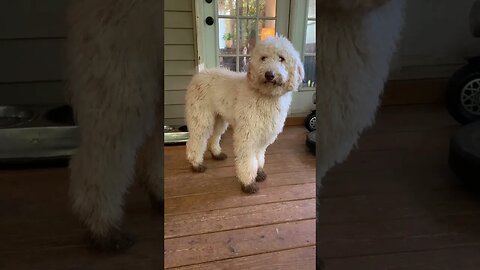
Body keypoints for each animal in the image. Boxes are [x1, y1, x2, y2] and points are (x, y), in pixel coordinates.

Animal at [184, 37, 304, 194]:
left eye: (281, 58)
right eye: (263, 58)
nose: (269, 75)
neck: (266, 96)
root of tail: (199, 75)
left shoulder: (263, 136)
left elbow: (259, 157)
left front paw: (259, 173)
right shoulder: (247, 135)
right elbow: (248, 161)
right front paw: (248, 183)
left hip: (219, 119)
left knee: (214, 138)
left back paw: (216, 153)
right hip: (201, 118)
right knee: (196, 141)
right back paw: (196, 163)